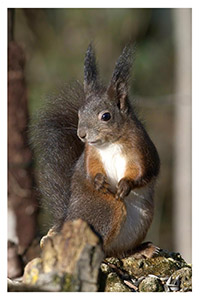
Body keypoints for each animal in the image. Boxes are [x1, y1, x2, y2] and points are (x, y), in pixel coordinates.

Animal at [30, 44, 160, 258]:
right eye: (79, 113)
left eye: (105, 116)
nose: (81, 134)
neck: (109, 144)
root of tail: (66, 221)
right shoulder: (90, 154)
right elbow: (91, 170)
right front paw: (99, 181)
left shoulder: (140, 149)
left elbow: (143, 171)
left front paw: (125, 185)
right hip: (106, 208)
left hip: (143, 216)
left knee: (118, 251)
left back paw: (141, 250)